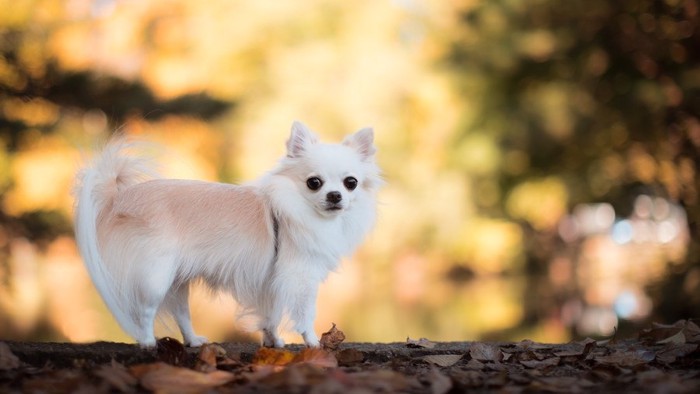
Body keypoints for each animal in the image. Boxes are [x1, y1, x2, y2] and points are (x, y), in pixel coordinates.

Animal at [74, 121, 380, 346]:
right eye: (314, 183)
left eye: (351, 183)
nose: (335, 195)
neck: (299, 209)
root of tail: (118, 199)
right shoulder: (300, 277)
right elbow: (305, 314)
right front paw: (313, 343)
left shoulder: (272, 281)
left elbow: (271, 315)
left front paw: (274, 342)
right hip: (155, 277)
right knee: (145, 311)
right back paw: (148, 342)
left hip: (177, 281)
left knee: (181, 313)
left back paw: (193, 341)